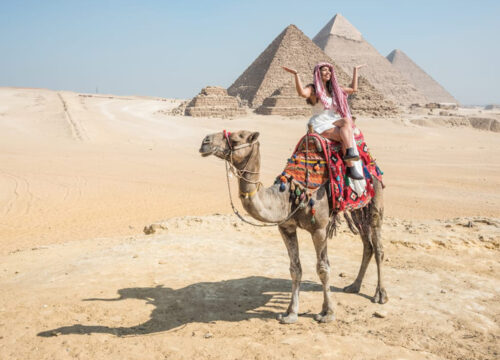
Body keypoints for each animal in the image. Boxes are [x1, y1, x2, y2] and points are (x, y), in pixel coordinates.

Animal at [199, 129, 386, 324]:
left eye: (235, 140)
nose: (205, 141)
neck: (288, 196)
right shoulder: (286, 227)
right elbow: (295, 268)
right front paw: (290, 313)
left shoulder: (319, 229)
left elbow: (323, 268)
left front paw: (327, 313)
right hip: (358, 209)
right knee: (367, 245)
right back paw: (354, 286)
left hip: (376, 199)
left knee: (378, 247)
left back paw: (380, 295)